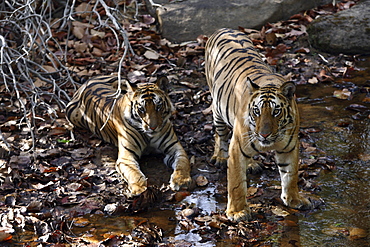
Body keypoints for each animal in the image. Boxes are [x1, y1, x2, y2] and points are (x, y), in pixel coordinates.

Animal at [205, 28, 312, 222]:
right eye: (256, 111)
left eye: (276, 112)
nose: (264, 134)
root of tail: (223, 29)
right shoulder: (237, 147)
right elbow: (236, 182)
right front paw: (237, 212)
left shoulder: (289, 147)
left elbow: (290, 175)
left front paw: (293, 199)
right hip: (218, 109)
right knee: (220, 134)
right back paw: (220, 157)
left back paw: (251, 164)